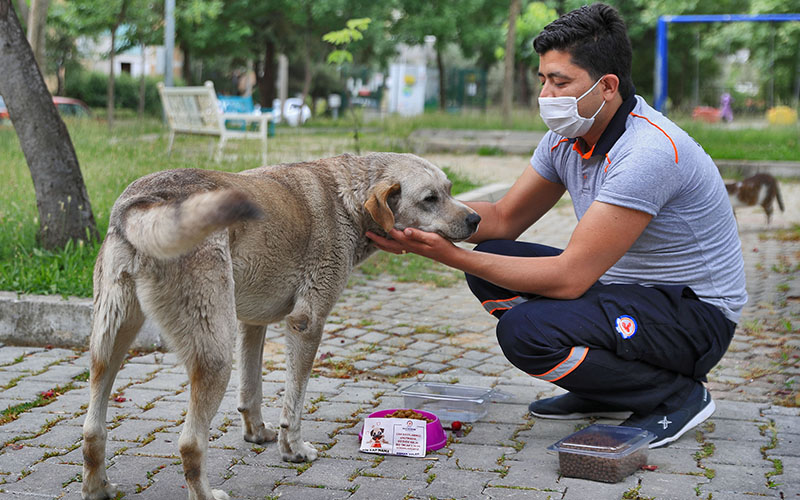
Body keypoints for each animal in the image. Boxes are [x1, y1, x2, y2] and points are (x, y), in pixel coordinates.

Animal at [81, 152, 482, 500]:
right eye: (430, 198)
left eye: (449, 189)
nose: (476, 219)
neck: (346, 197)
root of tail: (143, 203)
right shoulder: (307, 324)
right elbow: (294, 404)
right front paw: (293, 450)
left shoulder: (252, 324)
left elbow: (251, 392)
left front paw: (257, 434)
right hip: (215, 355)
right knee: (190, 443)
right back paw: (206, 494)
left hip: (111, 342)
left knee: (92, 429)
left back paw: (97, 487)